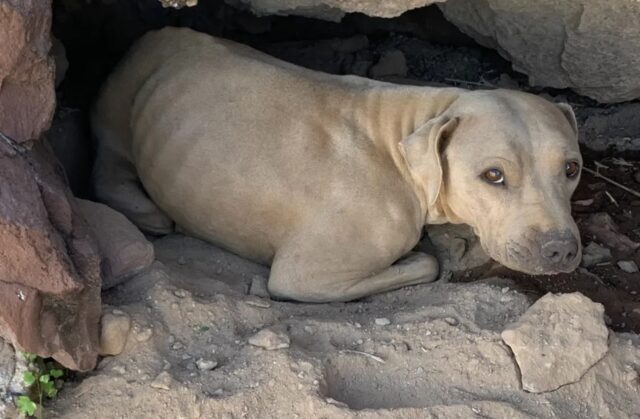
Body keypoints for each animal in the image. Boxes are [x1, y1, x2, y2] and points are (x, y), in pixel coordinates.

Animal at [92, 26, 584, 302]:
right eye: (493, 175)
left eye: (572, 169)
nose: (560, 249)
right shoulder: (304, 275)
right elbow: (425, 264)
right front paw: (420, 256)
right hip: (118, 116)